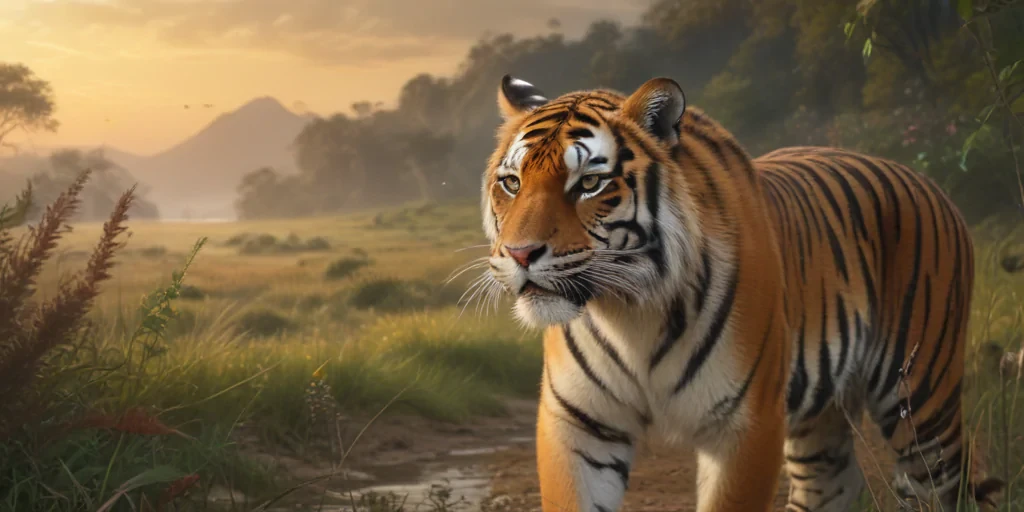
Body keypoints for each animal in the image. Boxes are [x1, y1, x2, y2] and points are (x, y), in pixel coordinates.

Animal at [477, 74, 1006, 512]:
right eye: (512, 182)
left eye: (589, 183)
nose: (520, 254)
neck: (630, 311)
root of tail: (930, 183)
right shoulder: (579, 424)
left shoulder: (745, 425)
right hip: (823, 420)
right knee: (834, 483)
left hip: (922, 401)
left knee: (949, 485)